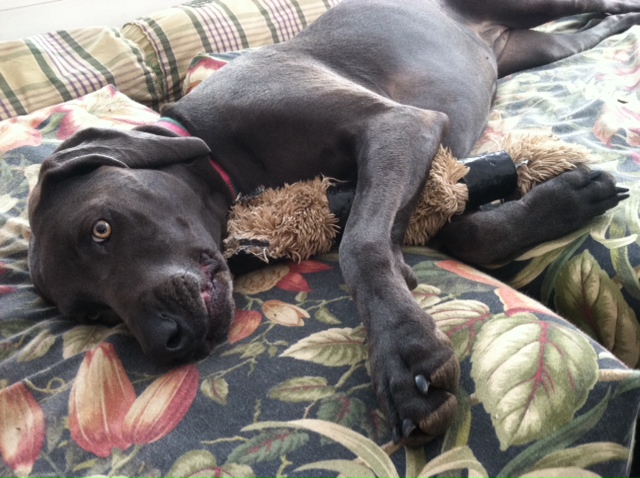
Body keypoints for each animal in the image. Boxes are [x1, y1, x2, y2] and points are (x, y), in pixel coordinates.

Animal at [26, 0, 640, 446]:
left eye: (101, 229)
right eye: (92, 314)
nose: (167, 341)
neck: (219, 150)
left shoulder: (400, 126)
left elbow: (361, 245)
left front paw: (403, 350)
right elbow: (456, 231)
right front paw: (564, 199)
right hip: (536, 47)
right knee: (584, 32)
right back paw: (617, 25)